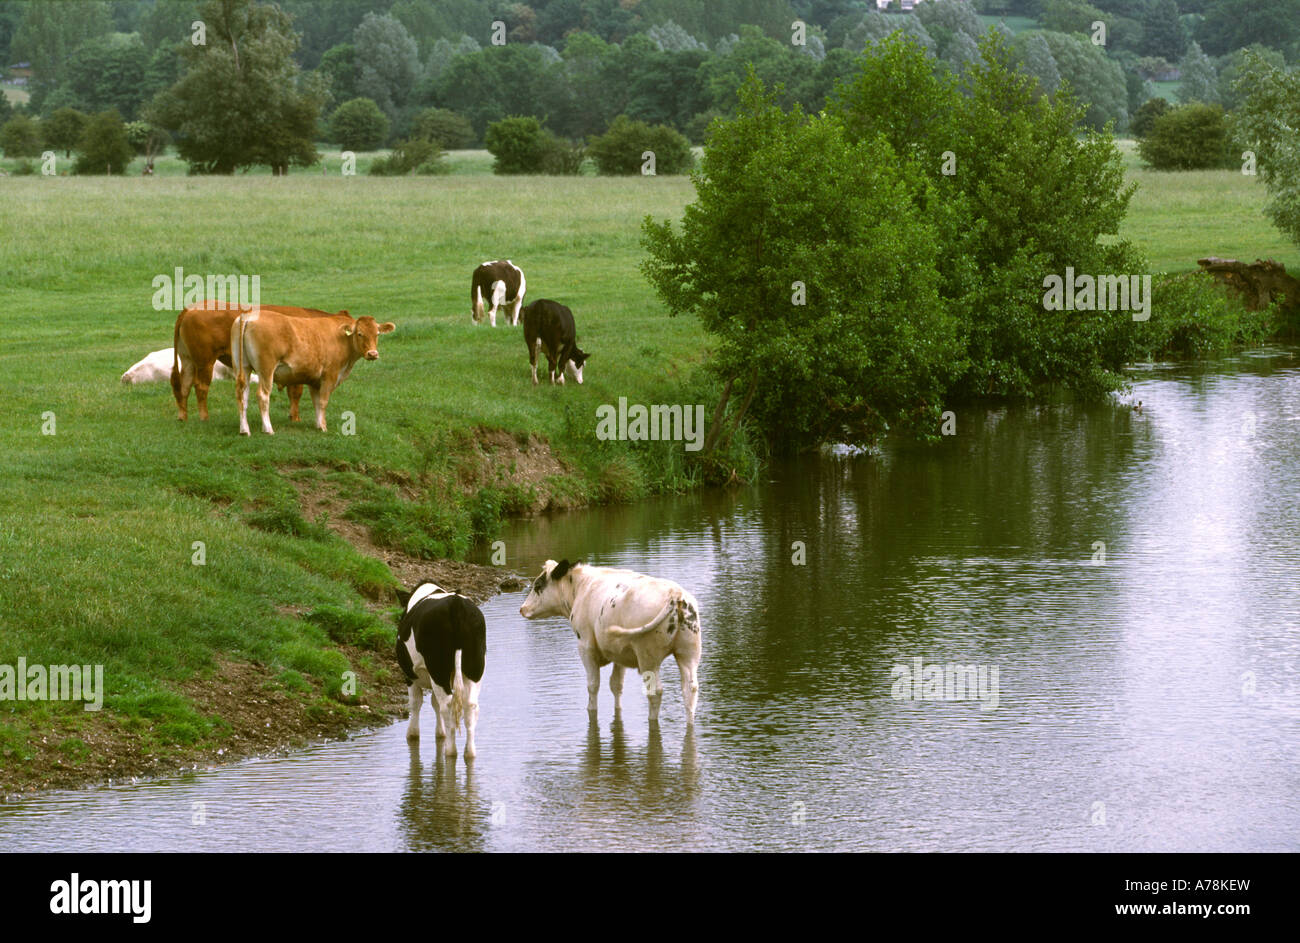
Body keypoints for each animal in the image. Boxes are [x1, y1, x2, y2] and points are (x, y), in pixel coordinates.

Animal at [171, 301, 345, 418]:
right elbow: (296, 393)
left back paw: (182, 417)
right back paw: (204, 417)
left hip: (187, 360)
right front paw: (295, 418)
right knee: (200, 387)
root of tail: (190, 308)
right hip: (205, 361)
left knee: (184, 386)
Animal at [233, 306, 392, 437]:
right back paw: (268, 429)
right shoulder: (330, 375)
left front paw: (318, 424)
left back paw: (244, 430)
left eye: (377, 334)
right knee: (263, 395)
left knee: (242, 395)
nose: (373, 353)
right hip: (266, 369)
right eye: (359, 333)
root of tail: (248, 316)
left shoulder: (314, 380)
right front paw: (323, 427)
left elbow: (316, 402)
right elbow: (323, 401)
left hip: (244, 367)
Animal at [392, 580, 486, 759]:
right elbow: (434, 702)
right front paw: (440, 733)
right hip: (474, 666)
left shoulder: (410, 675)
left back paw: (450, 751)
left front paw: (412, 734)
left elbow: (416, 702)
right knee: (470, 705)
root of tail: (455, 602)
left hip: (437, 667)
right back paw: (469, 752)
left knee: (447, 705)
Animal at [517, 556, 702, 723]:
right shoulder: (619, 652)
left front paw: (591, 710)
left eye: (537, 585)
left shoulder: (586, 647)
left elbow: (593, 685)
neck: (581, 587)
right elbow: (616, 685)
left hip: (648, 657)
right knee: (690, 689)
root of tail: (675, 594)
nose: (522, 609)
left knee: (655, 692)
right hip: (688, 653)